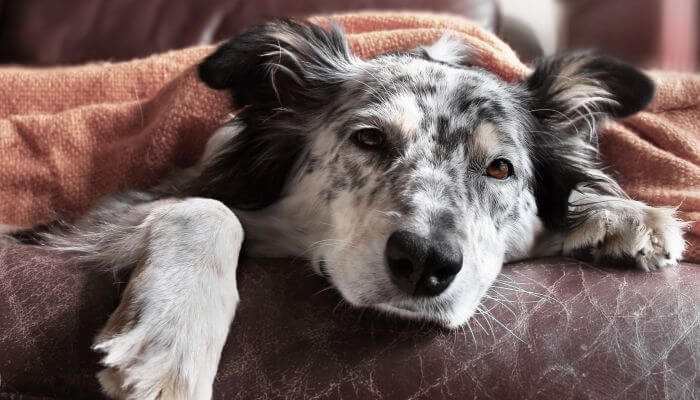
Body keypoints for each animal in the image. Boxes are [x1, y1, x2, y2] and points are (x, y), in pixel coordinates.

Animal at [24, 19, 688, 400]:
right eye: (369, 139)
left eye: (500, 169)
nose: (425, 263)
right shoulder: (115, 210)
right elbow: (207, 208)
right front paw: (172, 342)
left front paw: (624, 214)